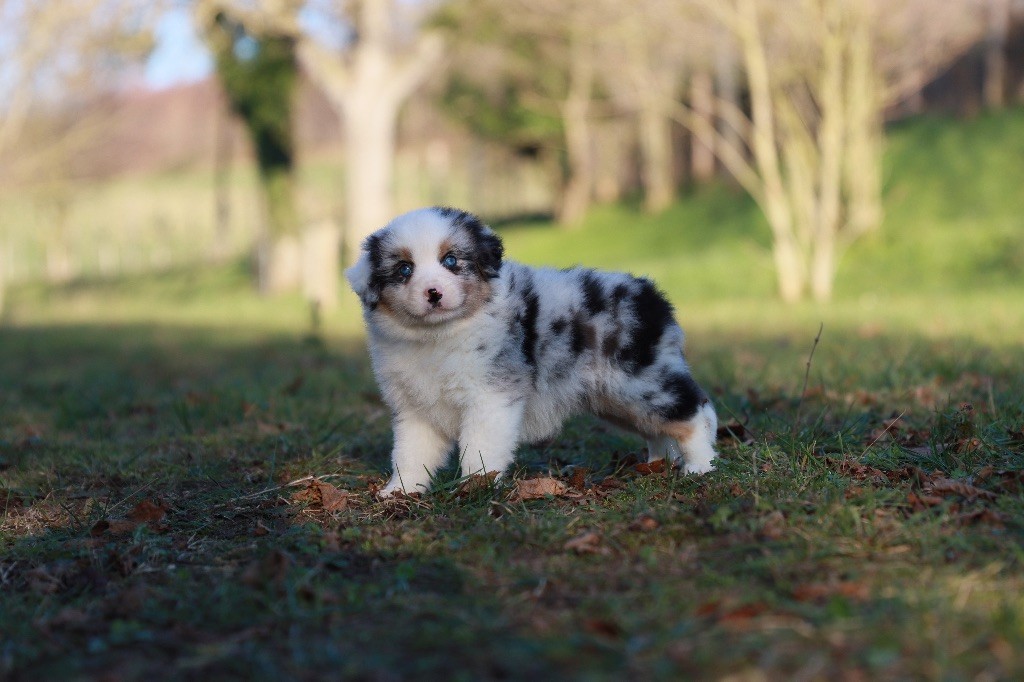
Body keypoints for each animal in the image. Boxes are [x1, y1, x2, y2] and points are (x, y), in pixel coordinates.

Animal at [348, 202, 716, 493]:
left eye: (450, 261)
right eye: (404, 269)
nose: (433, 293)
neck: (438, 336)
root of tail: (653, 296)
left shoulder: (490, 396)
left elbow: (478, 447)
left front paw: (476, 487)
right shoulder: (416, 409)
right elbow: (410, 453)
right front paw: (401, 491)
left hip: (640, 383)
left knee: (694, 412)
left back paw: (700, 467)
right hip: (617, 400)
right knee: (658, 429)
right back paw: (657, 465)